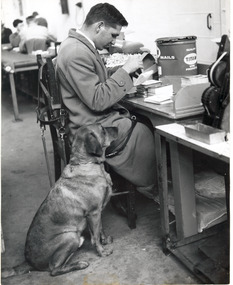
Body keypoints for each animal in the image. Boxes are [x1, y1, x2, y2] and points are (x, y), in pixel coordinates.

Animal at [1, 123, 118, 276]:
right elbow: (95, 237)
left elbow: (100, 230)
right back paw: (79, 264)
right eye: (103, 129)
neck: (86, 163)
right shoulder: (93, 213)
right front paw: (102, 251)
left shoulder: (98, 212)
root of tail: (28, 262)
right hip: (70, 237)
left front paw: (105, 241)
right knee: (54, 269)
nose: (117, 128)